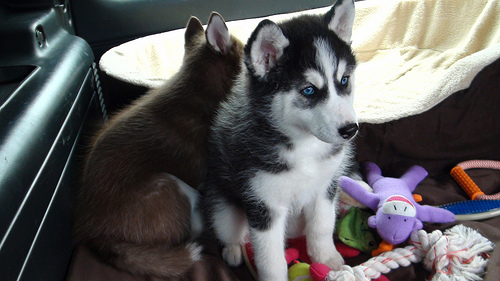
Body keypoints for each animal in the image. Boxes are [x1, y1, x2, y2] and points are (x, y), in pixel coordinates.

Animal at [202, 1, 360, 278]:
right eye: (309, 90)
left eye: (344, 80)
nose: (350, 130)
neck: (304, 146)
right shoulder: (264, 205)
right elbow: (270, 258)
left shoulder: (325, 187)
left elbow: (321, 226)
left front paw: (327, 260)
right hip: (224, 209)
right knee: (231, 231)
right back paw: (233, 251)